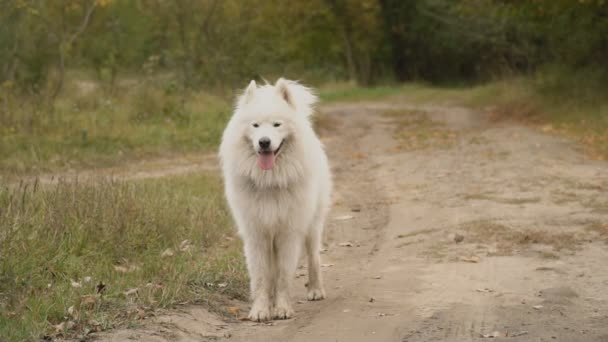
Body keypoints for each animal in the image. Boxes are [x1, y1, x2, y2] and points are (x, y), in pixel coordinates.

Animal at [220, 77, 332, 320]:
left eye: (277, 125)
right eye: (255, 126)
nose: (264, 142)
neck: (269, 181)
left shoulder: (288, 232)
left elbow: (283, 275)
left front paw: (282, 308)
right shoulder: (257, 233)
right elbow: (262, 276)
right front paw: (261, 309)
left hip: (312, 225)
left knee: (314, 257)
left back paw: (316, 290)